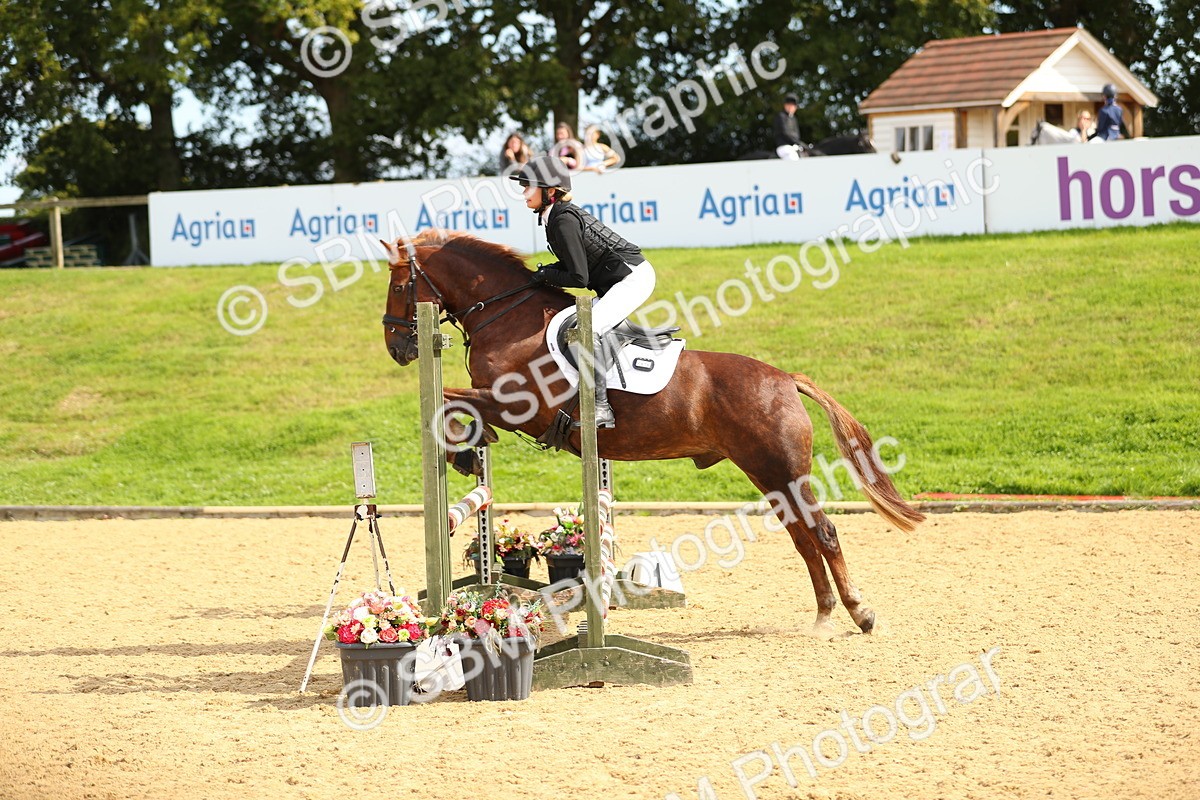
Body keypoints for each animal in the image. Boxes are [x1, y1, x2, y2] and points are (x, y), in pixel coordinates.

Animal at [380, 230, 925, 635]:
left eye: (400, 285)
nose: (397, 349)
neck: (506, 317)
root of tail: (785, 378)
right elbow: (456, 402)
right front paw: (470, 449)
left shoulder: (518, 406)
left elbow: (450, 399)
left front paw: (463, 449)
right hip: (769, 475)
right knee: (803, 539)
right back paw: (824, 616)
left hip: (783, 471)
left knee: (823, 533)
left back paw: (859, 613)